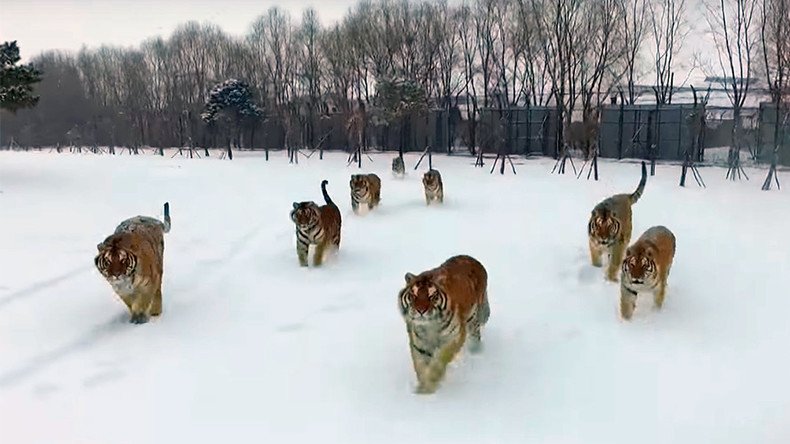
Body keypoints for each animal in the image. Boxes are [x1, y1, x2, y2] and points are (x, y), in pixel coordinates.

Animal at [400, 255, 492, 394]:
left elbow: (441, 359)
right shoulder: (419, 344)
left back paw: (476, 352)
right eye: (413, 295)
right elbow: (421, 367)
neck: (430, 325)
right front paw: (422, 391)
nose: (421, 311)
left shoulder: (455, 336)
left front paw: (432, 383)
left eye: (432, 296)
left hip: (473, 319)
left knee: (475, 336)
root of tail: (470, 258)